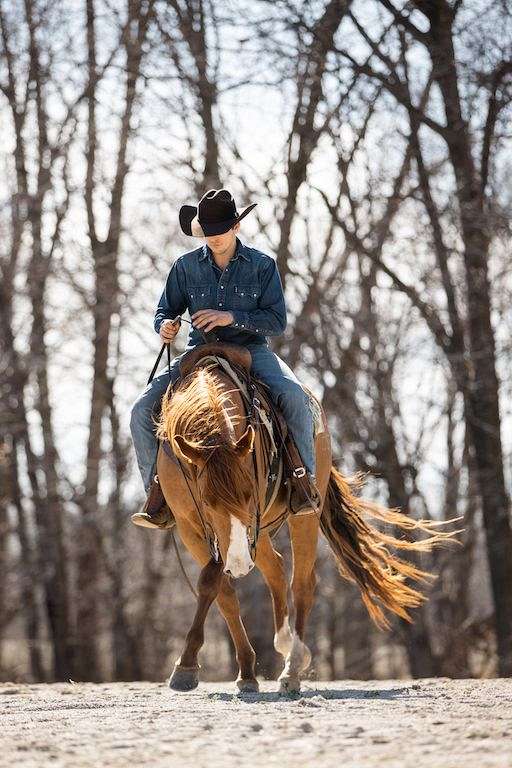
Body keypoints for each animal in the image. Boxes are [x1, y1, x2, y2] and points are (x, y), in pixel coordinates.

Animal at [154, 347, 456, 693]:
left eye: (250, 494)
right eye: (206, 500)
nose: (240, 563)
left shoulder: (241, 526)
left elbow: (213, 580)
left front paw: (187, 665)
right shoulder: (192, 527)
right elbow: (219, 589)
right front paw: (234, 670)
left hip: (301, 516)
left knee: (301, 583)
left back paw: (292, 667)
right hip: (258, 534)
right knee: (276, 568)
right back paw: (281, 646)